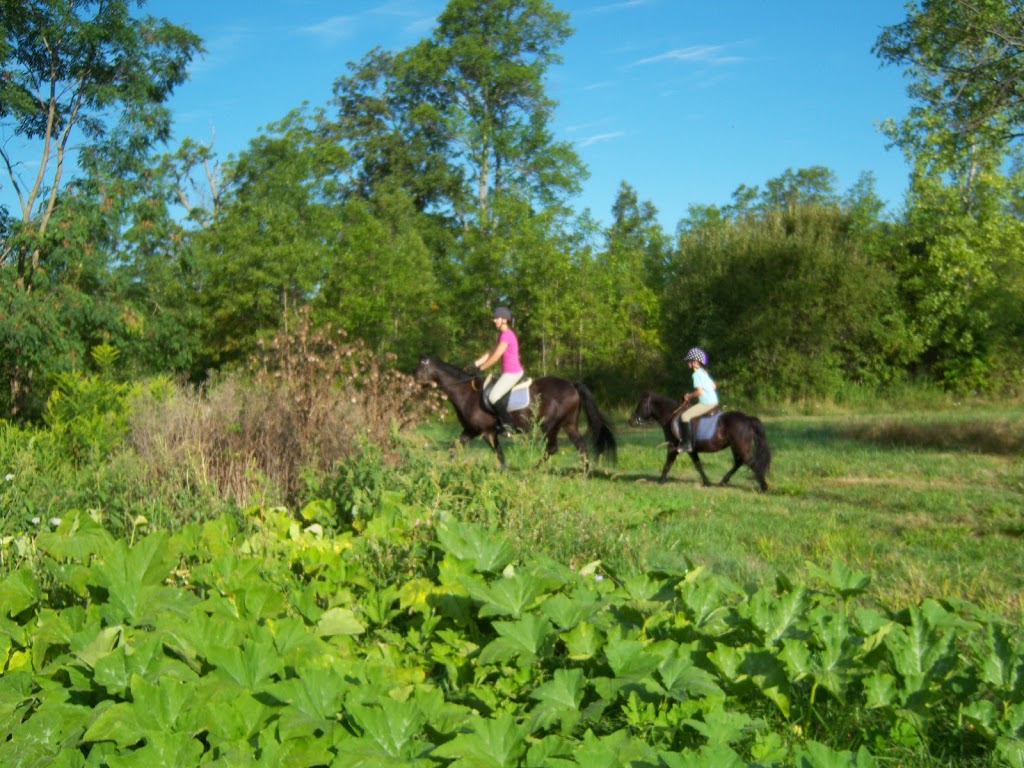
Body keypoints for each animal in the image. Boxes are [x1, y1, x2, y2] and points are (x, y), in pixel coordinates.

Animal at [413, 358, 614, 473]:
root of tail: (572, 385)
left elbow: (499, 453)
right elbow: (455, 447)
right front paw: (444, 467)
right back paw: (584, 473)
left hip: (550, 426)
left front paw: (505, 471)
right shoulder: (470, 430)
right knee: (581, 446)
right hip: (569, 425)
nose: (411, 384)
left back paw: (533, 469)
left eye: (420, 371)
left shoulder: (487, 432)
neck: (466, 392)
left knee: (552, 448)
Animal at [630, 391, 770, 493]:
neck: (671, 416)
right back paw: (724, 481)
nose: (631, 421)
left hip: (740, 447)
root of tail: (747, 419)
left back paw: (764, 487)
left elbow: (667, 465)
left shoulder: (673, 447)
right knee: (739, 462)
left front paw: (660, 481)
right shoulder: (691, 450)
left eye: (641, 404)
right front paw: (706, 482)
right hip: (735, 447)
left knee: (752, 464)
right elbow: (698, 465)